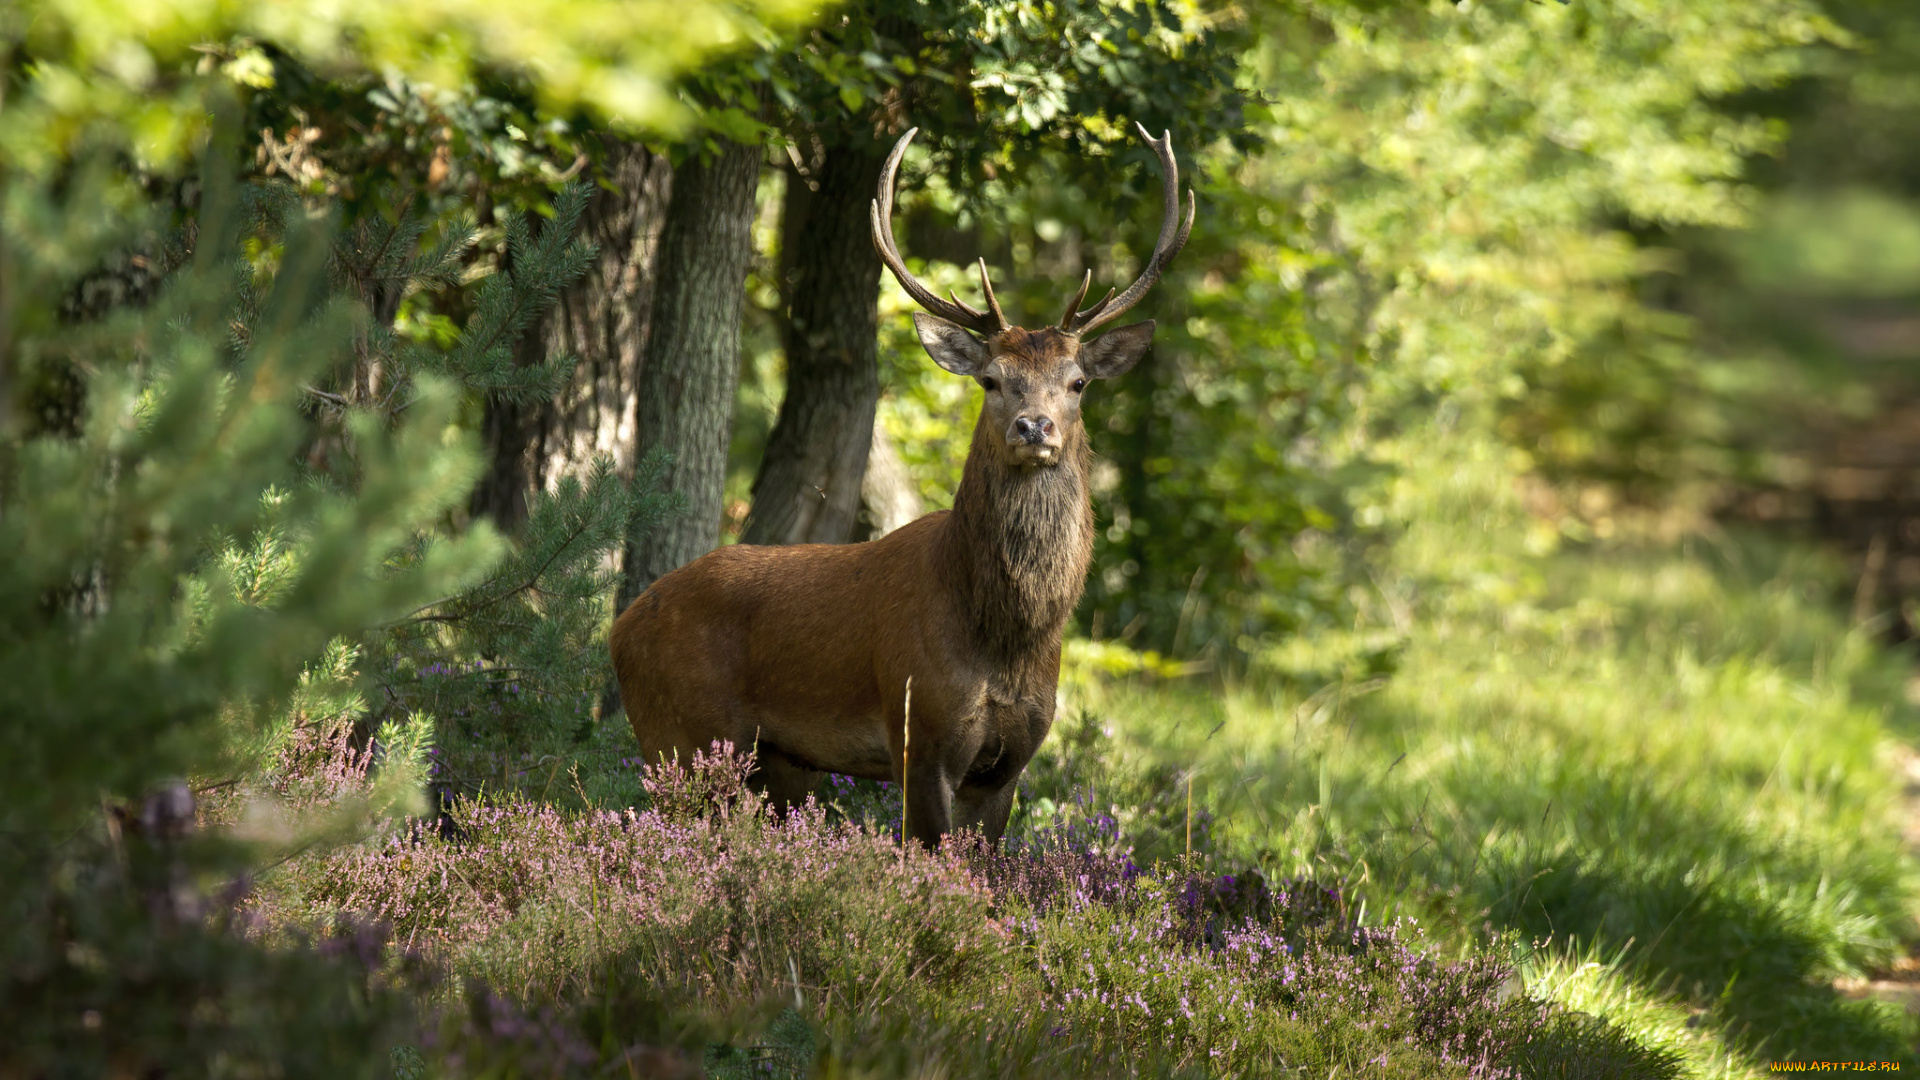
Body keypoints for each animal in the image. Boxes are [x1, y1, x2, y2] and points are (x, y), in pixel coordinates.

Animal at [610, 122, 1182, 845]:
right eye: (990, 379)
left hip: (777, 764)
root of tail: (618, 629)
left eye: (1078, 382)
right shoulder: (920, 731)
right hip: (680, 737)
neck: (1003, 634)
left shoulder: (1011, 760)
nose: (1034, 426)